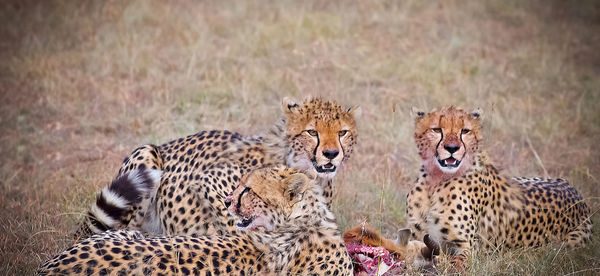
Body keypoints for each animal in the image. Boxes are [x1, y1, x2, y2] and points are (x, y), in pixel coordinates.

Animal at [79, 97, 360, 237]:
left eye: (342, 132)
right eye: (312, 132)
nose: (331, 154)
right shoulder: (210, 179)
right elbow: (236, 221)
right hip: (146, 154)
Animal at [406, 106, 592, 266]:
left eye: (465, 131)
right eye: (437, 130)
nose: (452, 148)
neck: (435, 183)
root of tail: (576, 192)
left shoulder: (467, 247)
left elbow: (455, 264)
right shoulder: (414, 236)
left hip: (569, 244)